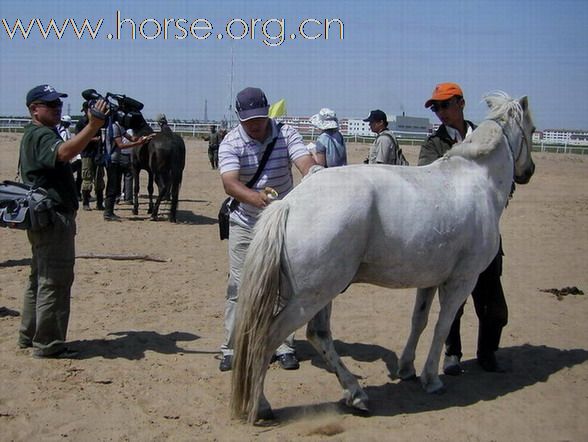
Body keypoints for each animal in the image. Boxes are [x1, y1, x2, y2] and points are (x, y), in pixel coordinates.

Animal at [232, 92, 536, 422]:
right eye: (532, 130)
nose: (529, 171)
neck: (476, 180)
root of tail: (288, 204)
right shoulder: (461, 282)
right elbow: (442, 326)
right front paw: (432, 379)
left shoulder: (429, 281)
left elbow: (419, 321)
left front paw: (406, 369)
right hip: (310, 297)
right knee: (267, 338)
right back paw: (262, 405)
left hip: (321, 294)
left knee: (319, 334)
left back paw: (356, 394)